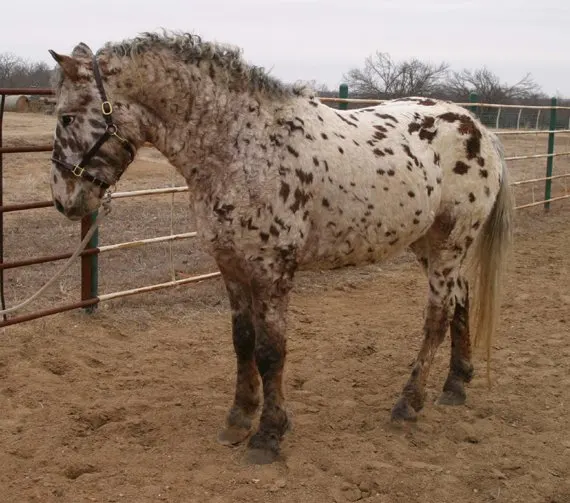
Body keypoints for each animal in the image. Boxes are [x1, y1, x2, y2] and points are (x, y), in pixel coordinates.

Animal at [47, 31, 510, 464]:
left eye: (67, 117)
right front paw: (239, 419)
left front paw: (268, 435)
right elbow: (242, 342)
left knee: (437, 317)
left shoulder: (271, 272)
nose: (63, 201)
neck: (243, 147)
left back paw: (408, 404)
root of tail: (478, 128)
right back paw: (455, 385)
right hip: (428, 244)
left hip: (451, 242)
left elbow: (271, 351)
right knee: (461, 300)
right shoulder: (231, 267)